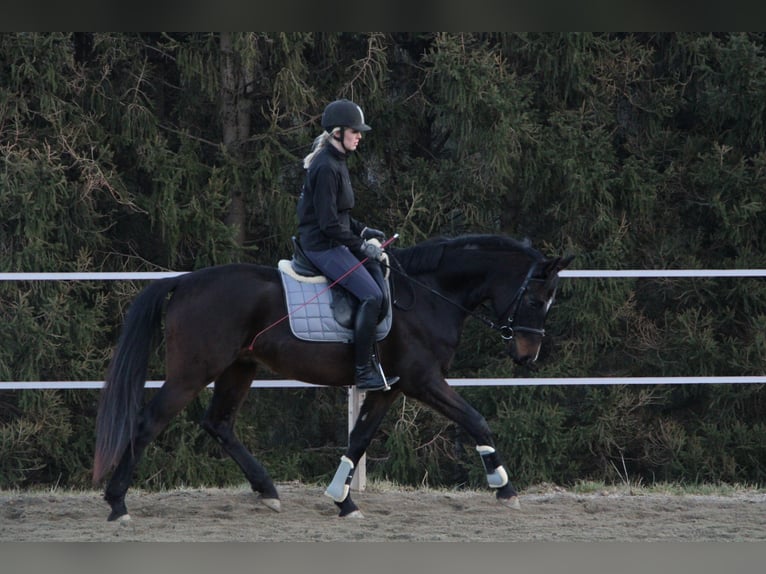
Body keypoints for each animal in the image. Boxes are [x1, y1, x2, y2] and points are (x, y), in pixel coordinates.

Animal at [93, 233, 572, 520]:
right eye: (536, 298)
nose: (528, 357)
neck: (429, 295)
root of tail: (186, 281)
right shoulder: (422, 381)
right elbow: (476, 419)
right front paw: (503, 486)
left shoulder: (388, 388)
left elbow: (359, 439)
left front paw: (343, 499)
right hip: (193, 371)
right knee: (148, 423)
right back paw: (117, 503)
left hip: (238, 368)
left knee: (219, 424)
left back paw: (267, 489)